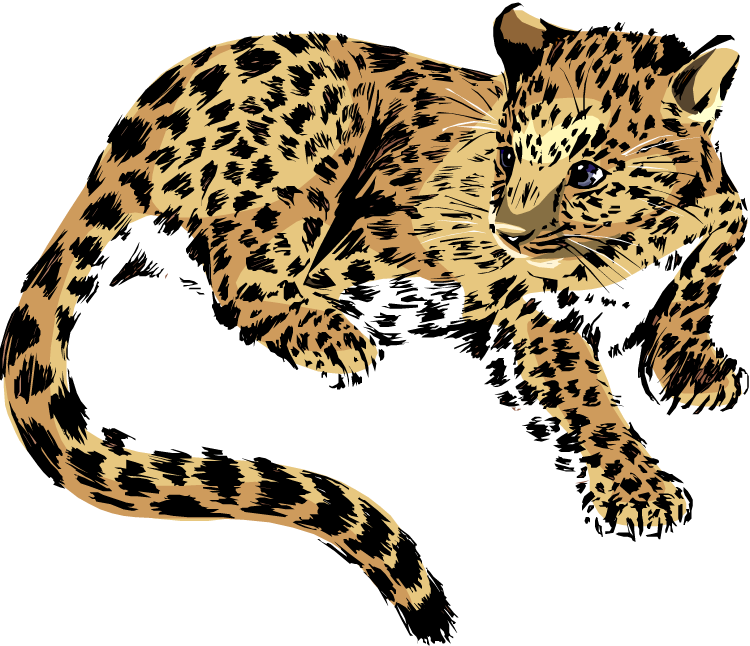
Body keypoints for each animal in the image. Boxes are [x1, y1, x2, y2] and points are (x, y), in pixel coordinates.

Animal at [3, 9, 745, 622]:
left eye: (587, 174)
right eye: (507, 155)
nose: (504, 229)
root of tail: (137, 118)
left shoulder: (723, 202)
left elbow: (710, 261)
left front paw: (691, 363)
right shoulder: (524, 299)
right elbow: (586, 384)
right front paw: (637, 480)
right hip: (321, 141)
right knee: (242, 275)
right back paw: (336, 334)